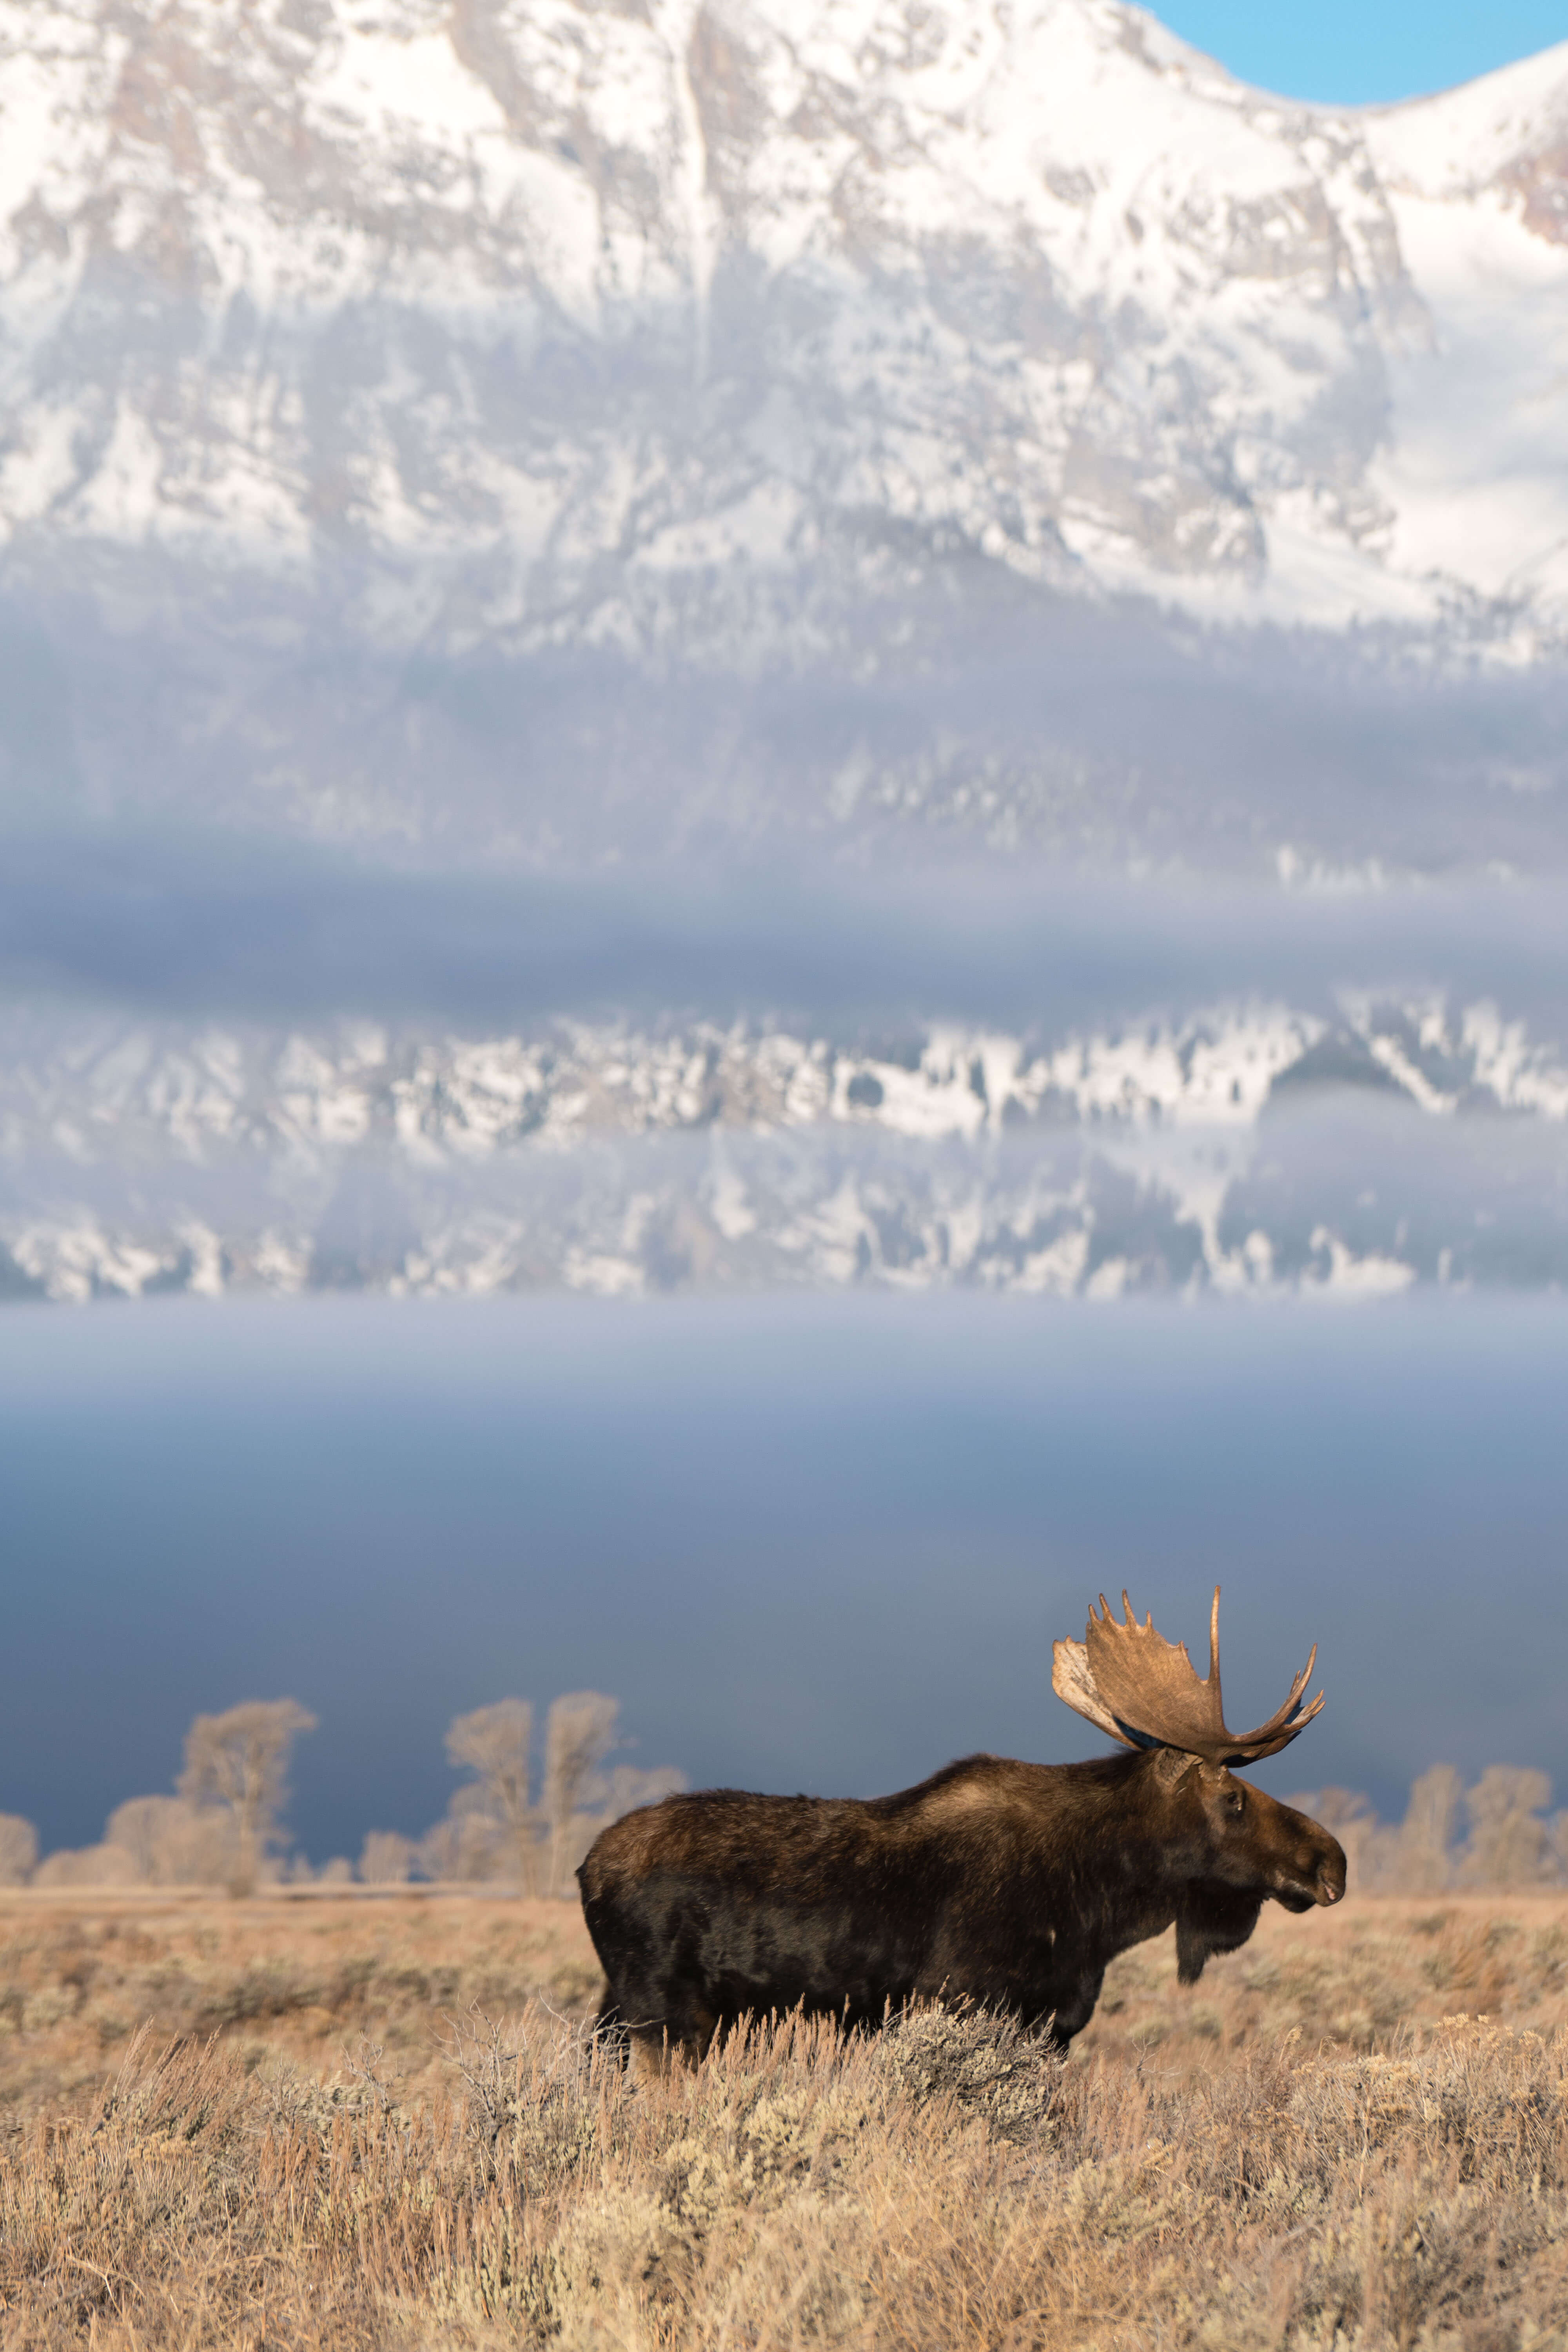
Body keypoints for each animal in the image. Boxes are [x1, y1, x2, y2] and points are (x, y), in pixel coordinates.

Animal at [583, 1590, 1345, 2070]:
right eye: (1234, 1798)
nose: (1332, 1860)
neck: (1101, 1904)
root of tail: (587, 1869)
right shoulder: (967, 2001)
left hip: (624, 2014)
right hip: (664, 2018)